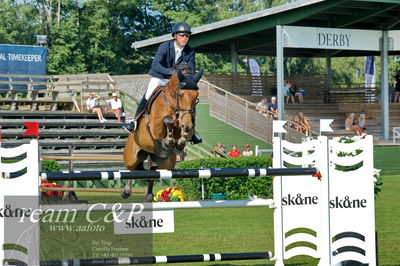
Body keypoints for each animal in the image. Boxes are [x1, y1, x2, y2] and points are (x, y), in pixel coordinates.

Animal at [122, 66, 203, 202]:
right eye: (180, 94)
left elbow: (186, 130)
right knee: (131, 170)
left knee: (152, 171)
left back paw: (149, 195)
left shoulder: (189, 122)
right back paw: (126, 191)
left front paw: (179, 142)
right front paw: (168, 140)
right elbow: (168, 120)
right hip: (132, 157)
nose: (186, 124)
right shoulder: (156, 127)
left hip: (166, 163)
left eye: (196, 96)